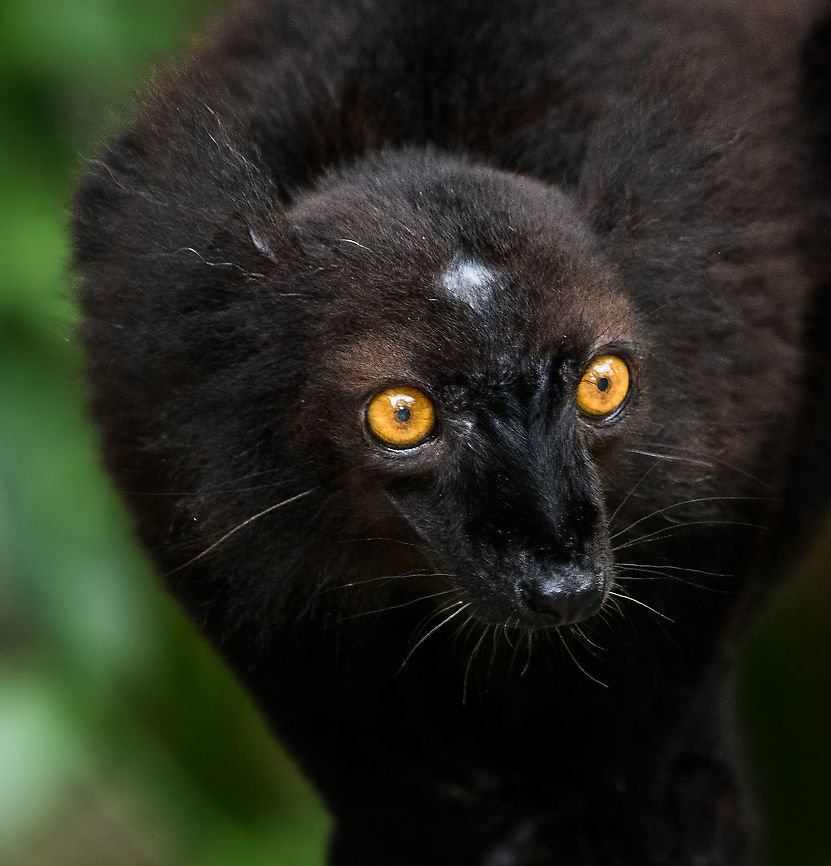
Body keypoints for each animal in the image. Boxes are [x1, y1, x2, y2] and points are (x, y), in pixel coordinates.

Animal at [71, 0, 831, 862]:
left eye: (602, 383)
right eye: (402, 413)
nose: (562, 584)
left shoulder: (728, 418)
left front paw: (607, 812)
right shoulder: (165, 421)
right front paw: (422, 823)